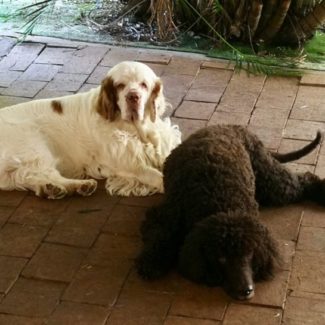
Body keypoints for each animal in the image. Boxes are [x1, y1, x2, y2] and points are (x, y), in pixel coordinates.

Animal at [0, 60, 181, 197]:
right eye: (120, 85)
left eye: (144, 85)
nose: (133, 97)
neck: (134, 128)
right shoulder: (127, 164)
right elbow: (155, 175)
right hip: (36, 146)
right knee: (43, 172)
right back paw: (76, 185)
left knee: (26, 176)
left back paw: (53, 188)